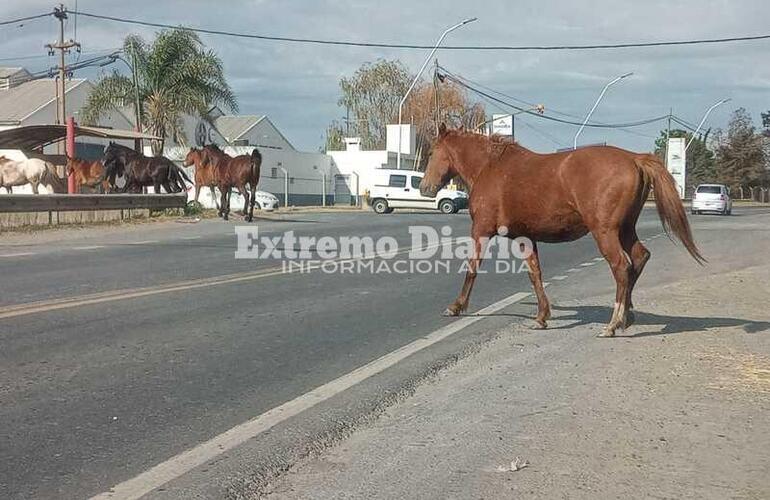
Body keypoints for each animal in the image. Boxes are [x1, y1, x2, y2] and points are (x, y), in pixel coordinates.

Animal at [420, 123, 704, 338]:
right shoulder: (526, 237)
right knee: (639, 258)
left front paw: (456, 306)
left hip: (605, 232)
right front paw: (542, 316)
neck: (490, 167)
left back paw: (613, 323)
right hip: (625, 229)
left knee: (621, 267)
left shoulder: (481, 230)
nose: (425, 188)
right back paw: (627, 316)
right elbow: (535, 274)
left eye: (433, 151)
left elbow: (472, 268)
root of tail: (634, 158)